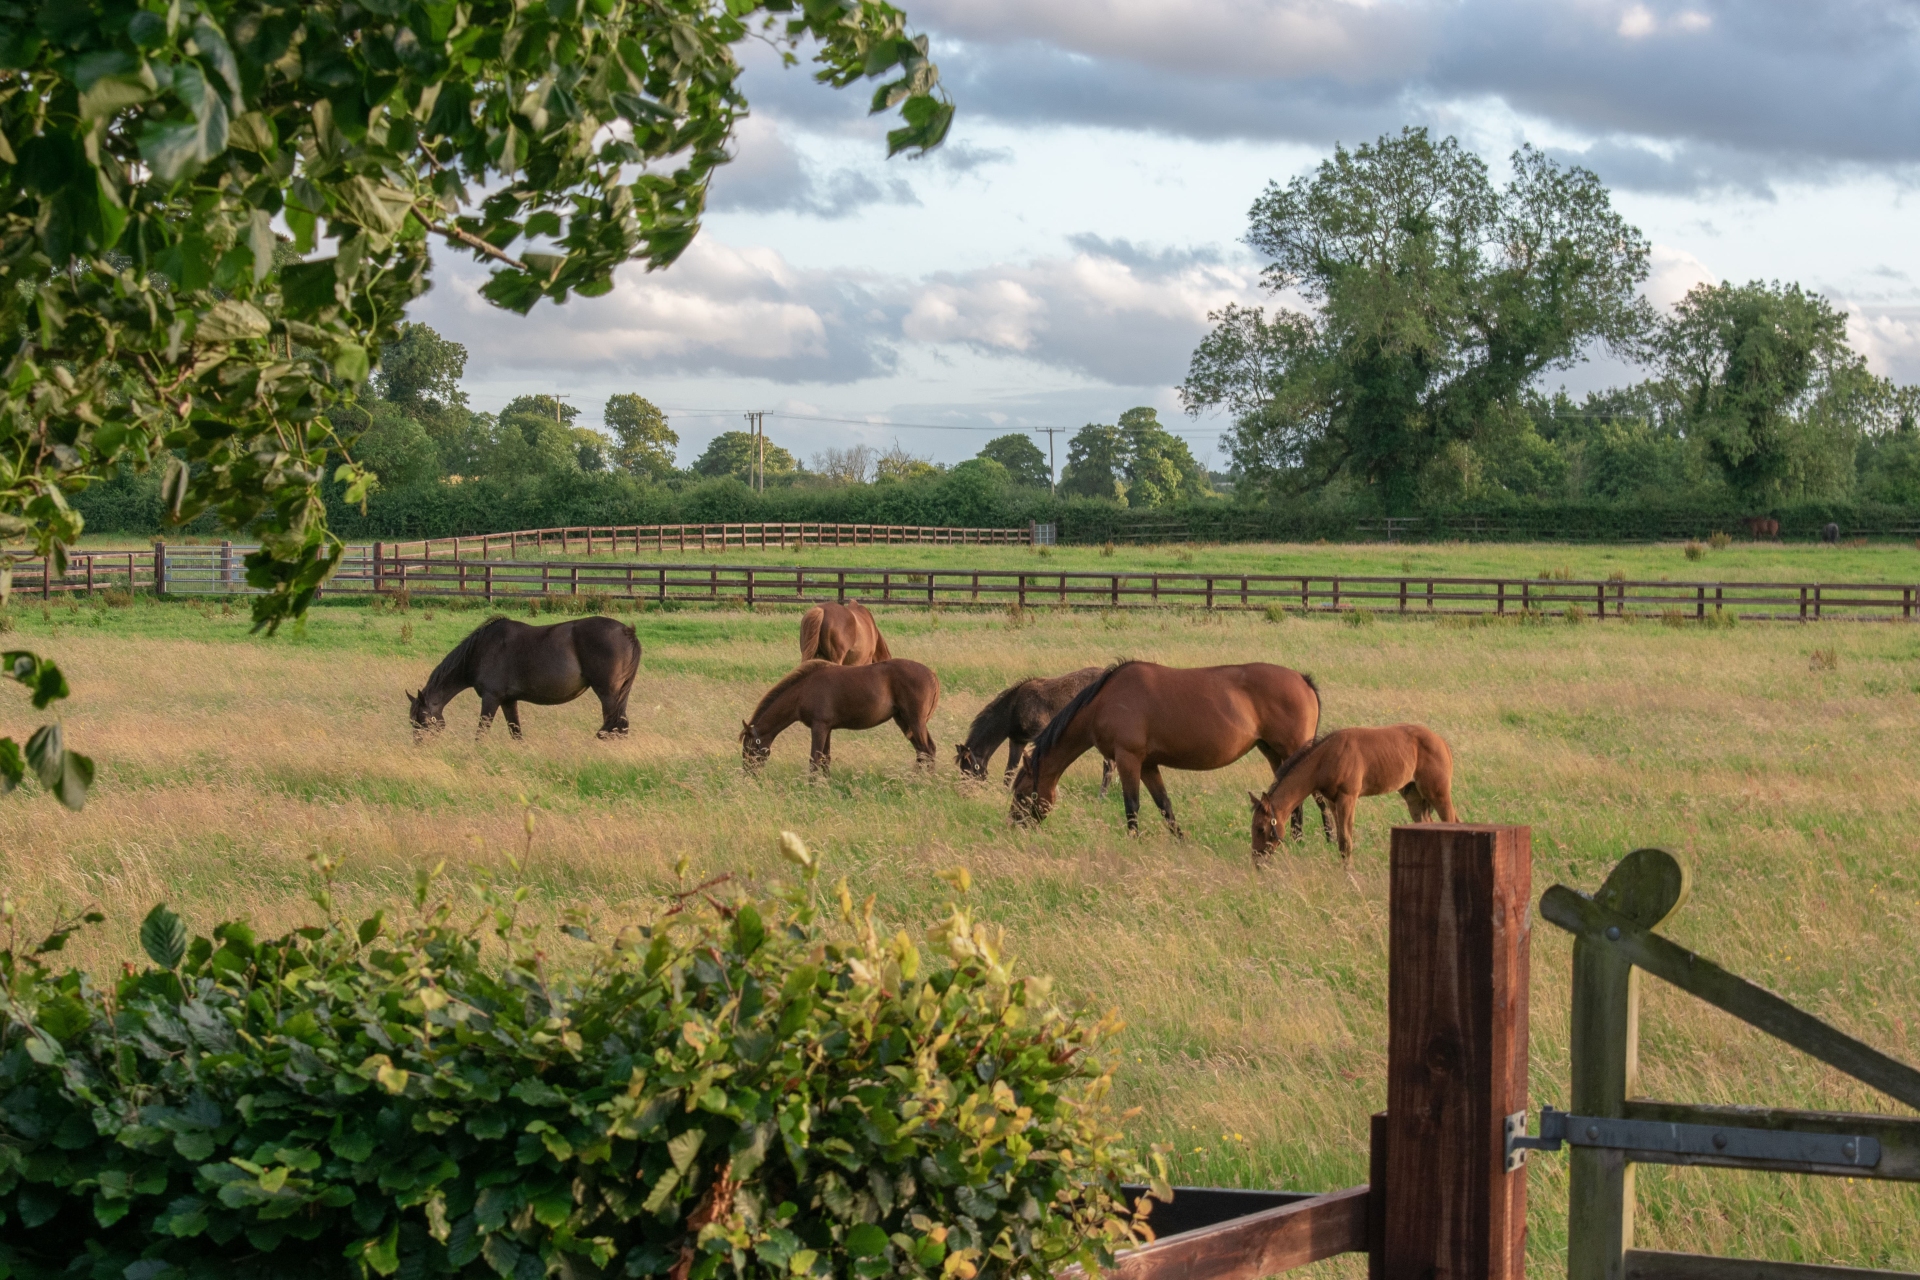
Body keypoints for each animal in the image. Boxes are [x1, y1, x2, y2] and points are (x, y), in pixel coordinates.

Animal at [408, 615, 640, 740]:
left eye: (421, 720)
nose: (419, 746)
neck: (481, 650)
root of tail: (627, 631)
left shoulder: (491, 698)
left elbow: (481, 732)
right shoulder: (509, 701)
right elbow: (516, 733)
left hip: (608, 694)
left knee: (616, 726)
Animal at [741, 659, 939, 775]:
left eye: (749, 748)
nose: (749, 773)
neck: (803, 690)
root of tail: (932, 674)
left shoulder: (819, 727)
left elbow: (814, 760)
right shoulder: (826, 729)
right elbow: (825, 759)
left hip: (914, 722)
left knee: (927, 750)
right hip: (904, 722)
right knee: (922, 751)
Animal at [955, 667, 1113, 794]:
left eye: (969, 769)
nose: (964, 793)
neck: (1014, 708)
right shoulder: (1017, 742)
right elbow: (1009, 771)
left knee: (1108, 766)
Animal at [1010, 661, 1322, 836]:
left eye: (1021, 794)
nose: (1014, 827)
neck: (1104, 701)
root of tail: (1303, 680)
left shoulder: (1128, 759)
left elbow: (1132, 806)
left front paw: (1133, 841)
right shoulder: (1148, 764)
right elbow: (1165, 807)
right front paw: (1181, 841)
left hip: (1293, 751)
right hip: (1274, 754)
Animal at [1249, 725, 1457, 862]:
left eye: (1260, 828)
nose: (1257, 859)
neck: (1325, 758)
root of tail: (1443, 743)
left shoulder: (1348, 798)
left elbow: (1346, 843)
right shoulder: (1333, 801)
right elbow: (1341, 842)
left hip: (1438, 793)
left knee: (1452, 822)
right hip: (1414, 796)